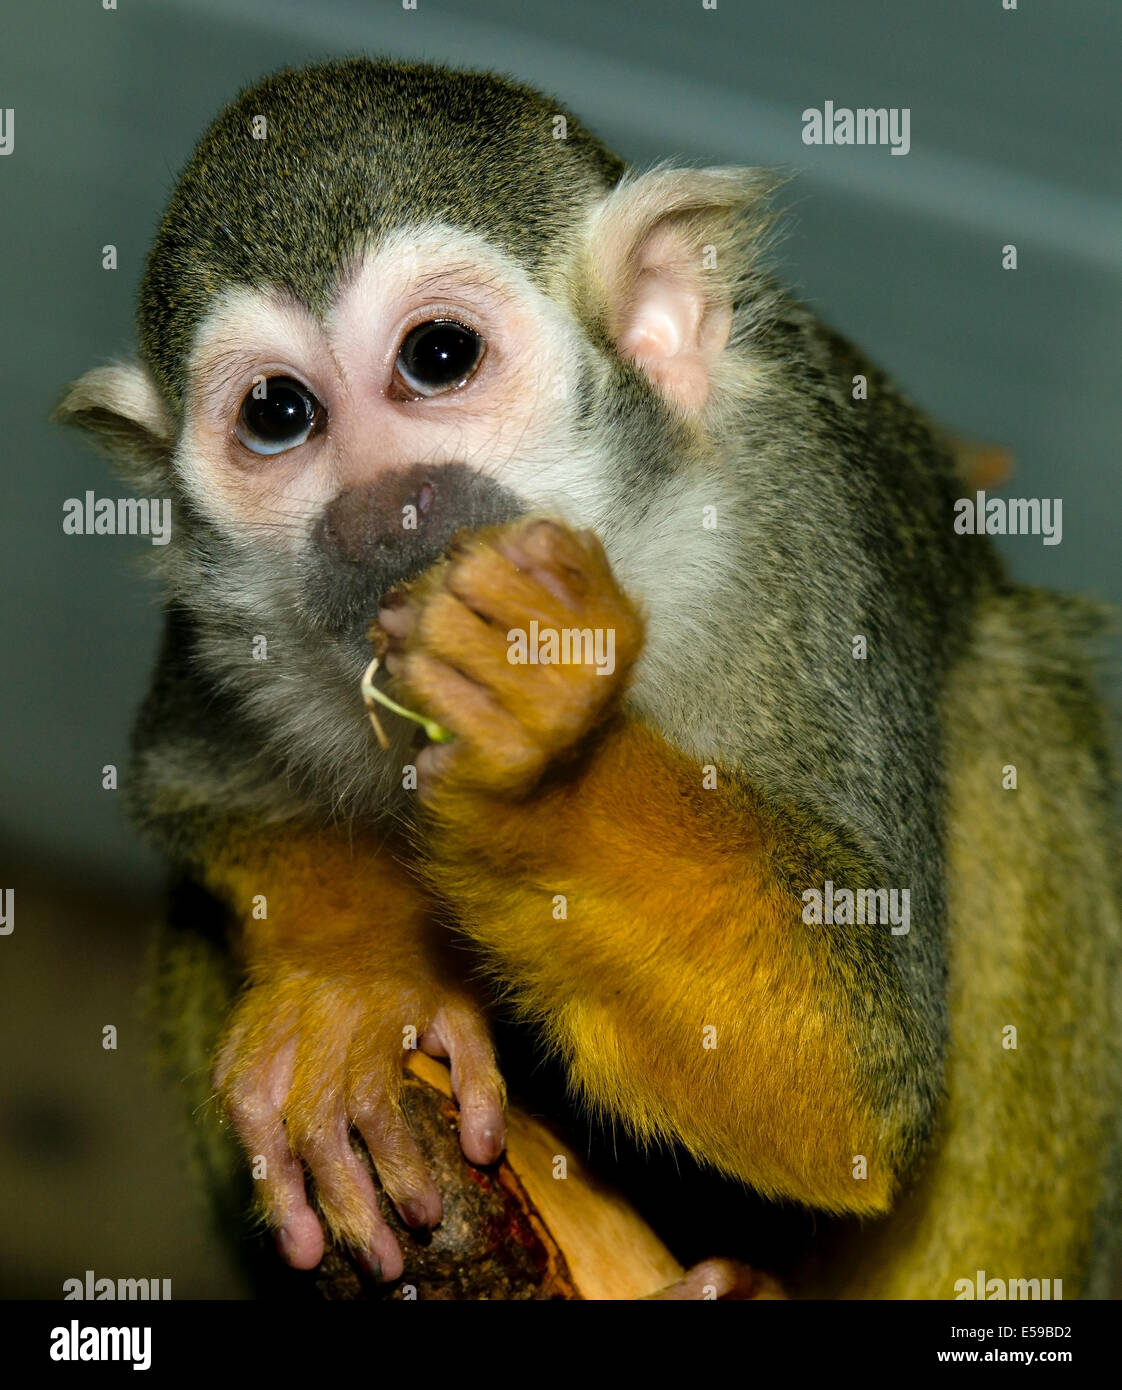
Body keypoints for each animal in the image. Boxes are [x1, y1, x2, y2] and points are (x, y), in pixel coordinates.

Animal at [61, 59, 1122, 1295]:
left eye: (438, 357)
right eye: (278, 415)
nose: (382, 512)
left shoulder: (809, 517)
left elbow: (853, 1070)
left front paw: (538, 765)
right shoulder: (222, 630)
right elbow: (197, 796)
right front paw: (361, 986)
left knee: (1015, 709)